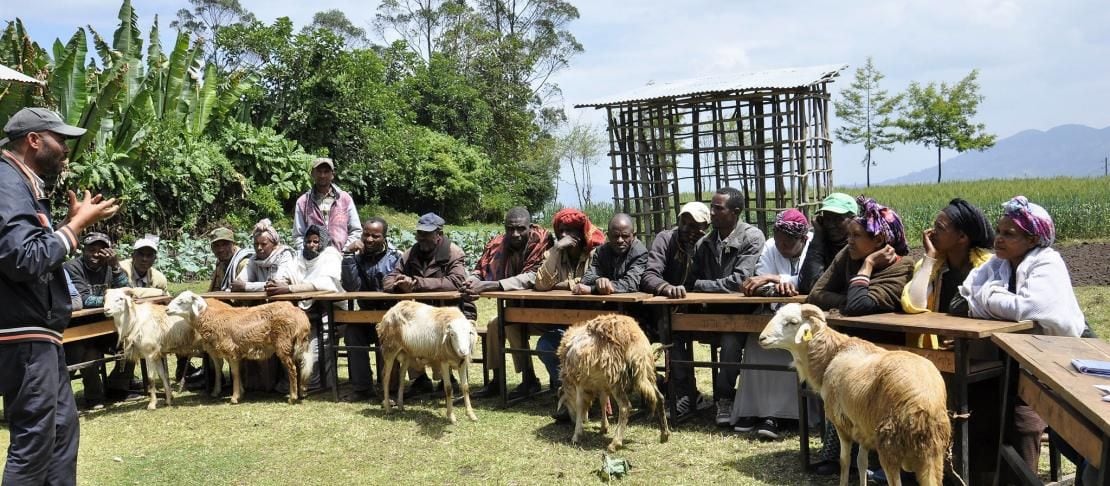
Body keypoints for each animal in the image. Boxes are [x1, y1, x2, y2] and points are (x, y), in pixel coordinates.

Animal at [166, 291, 315, 405]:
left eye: (182, 301)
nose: (166, 309)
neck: (211, 318)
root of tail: (301, 317)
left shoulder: (231, 351)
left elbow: (234, 373)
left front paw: (234, 397)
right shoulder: (231, 352)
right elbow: (230, 371)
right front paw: (238, 393)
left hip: (283, 343)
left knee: (292, 369)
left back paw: (293, 397)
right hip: (295, 344)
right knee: (300, 365)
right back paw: (301, 392)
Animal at [556, 314, 670, 452]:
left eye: (565, 402)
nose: (570, 420)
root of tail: (633, 338)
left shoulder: (580, 382)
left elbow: (580, 404)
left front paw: (577, 435)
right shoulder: (602, 384)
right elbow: (603, 402)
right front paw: (603, 427)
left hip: (616, 376)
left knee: (625, 406)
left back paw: (615, 443)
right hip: (646, 371)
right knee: (660, 398)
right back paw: (664, 434)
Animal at [758, 303, 950, 486]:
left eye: (792, 322)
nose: (762, 338)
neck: (831, 355)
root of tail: (925, 401)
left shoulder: (842, 424)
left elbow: (845, 461)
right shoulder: (863, 427)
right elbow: (861, 462)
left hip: (889, 446)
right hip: (933, 454)